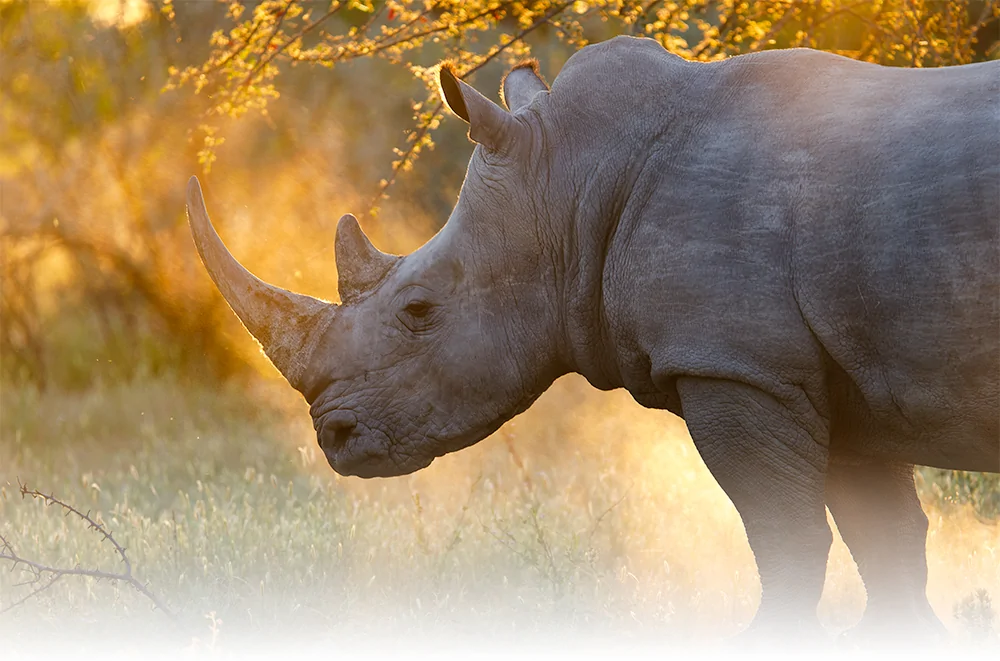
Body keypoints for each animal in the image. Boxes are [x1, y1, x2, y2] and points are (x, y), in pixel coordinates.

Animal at [186, 36, 999, 639]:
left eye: (418, 310)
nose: (336, 439)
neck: (569, 182)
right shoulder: (835, 371)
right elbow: (891, 543)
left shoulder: (735, 364)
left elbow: (787, 540)